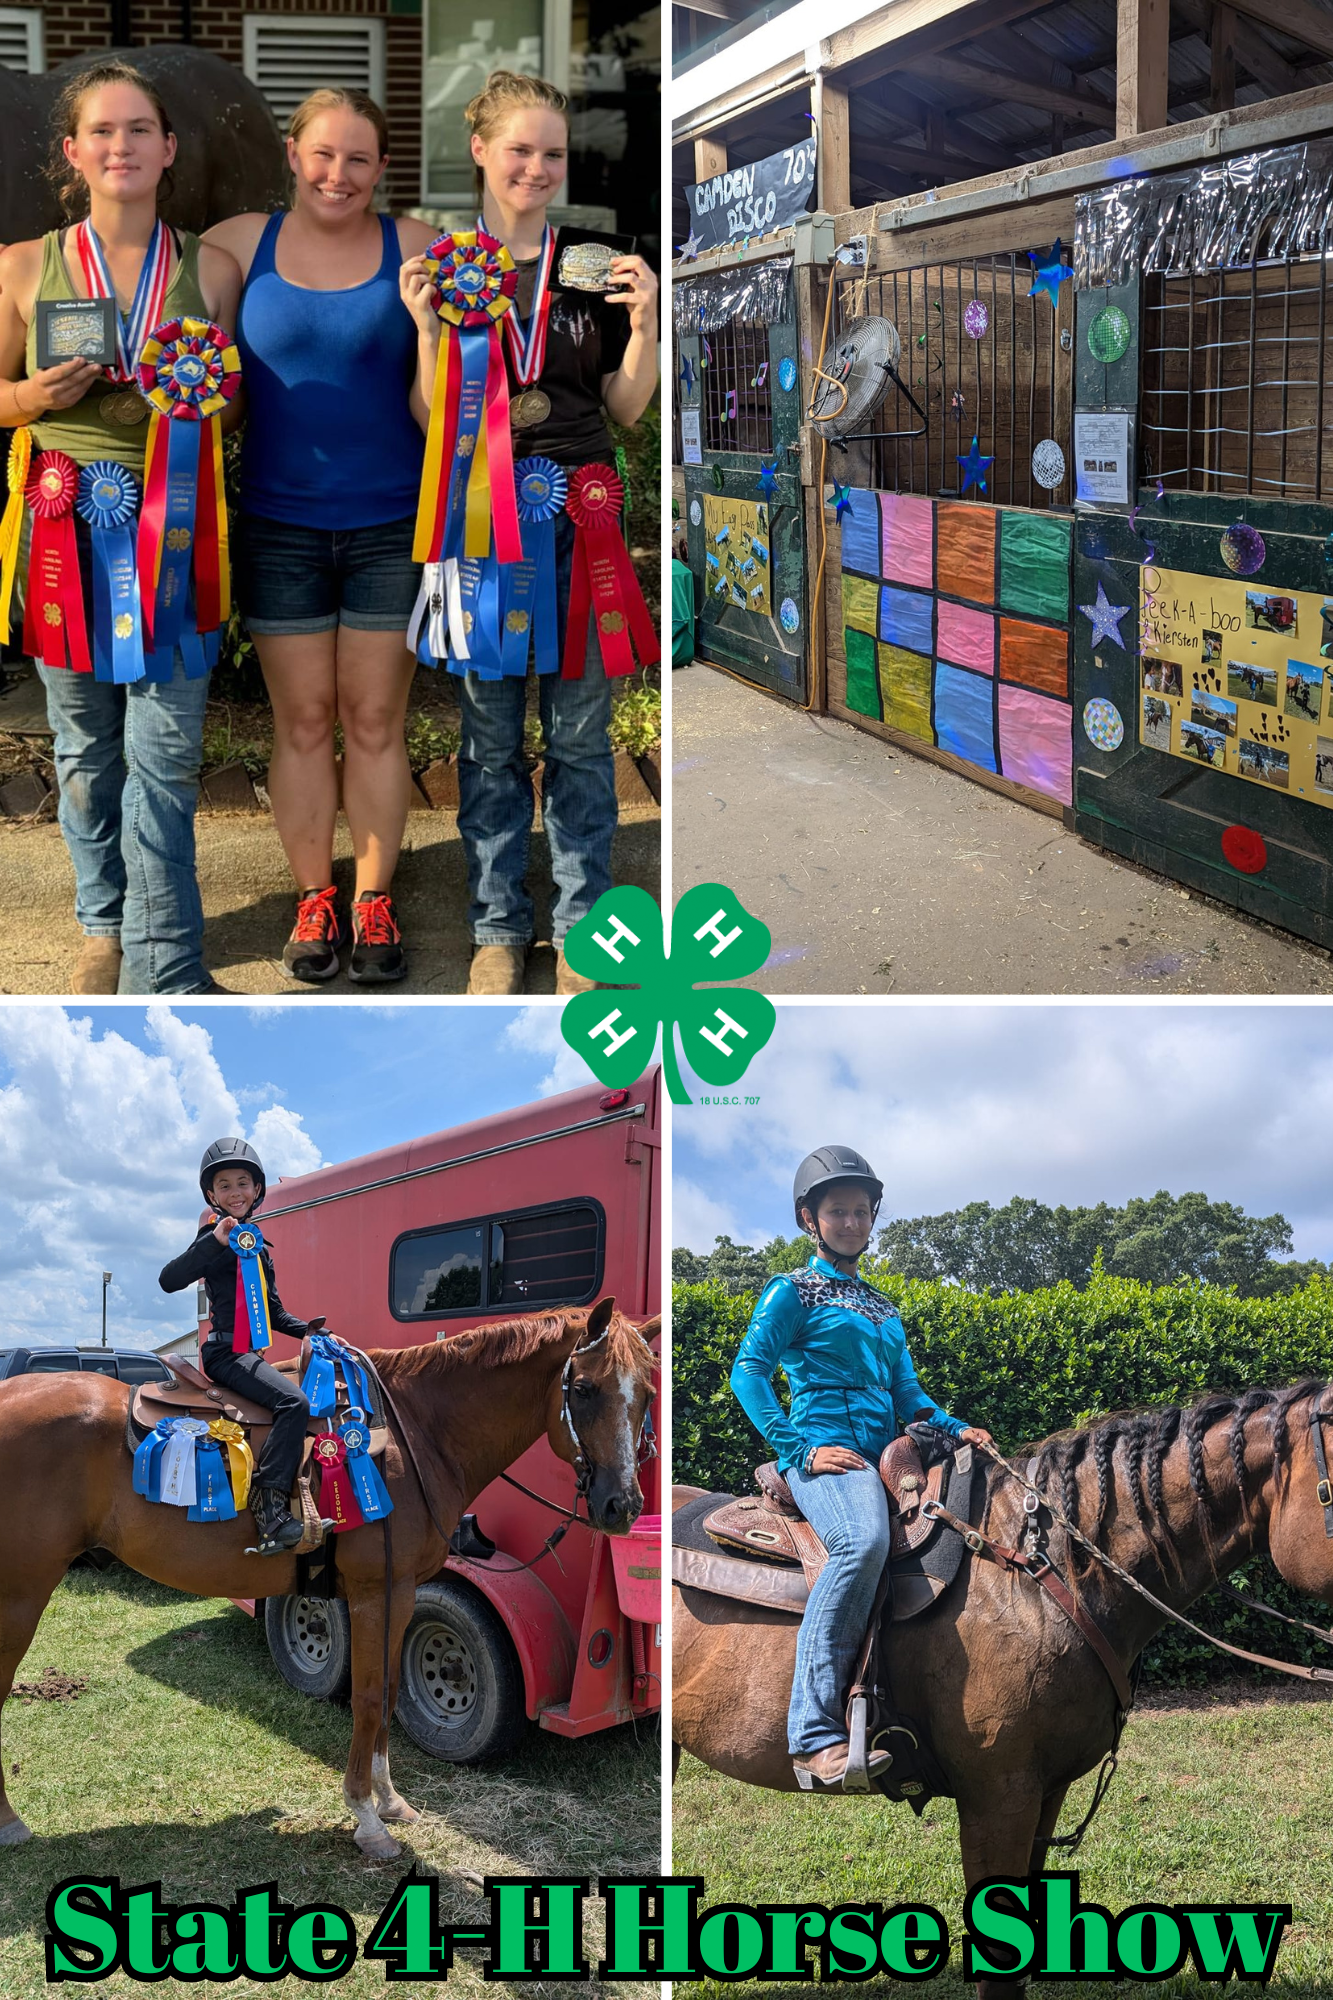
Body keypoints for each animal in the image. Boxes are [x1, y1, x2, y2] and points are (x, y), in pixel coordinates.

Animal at [0, 1296, 660, 1856]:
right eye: (584, 1389)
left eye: (647, 1392)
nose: (622, 1506)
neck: (416, 1433)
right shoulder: (374, 1591)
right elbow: (367, 1698)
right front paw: (367, 1820)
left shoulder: (400, 1593)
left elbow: (388, 1691)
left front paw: (391, 1802)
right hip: (22, 1591)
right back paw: (11, 1823)